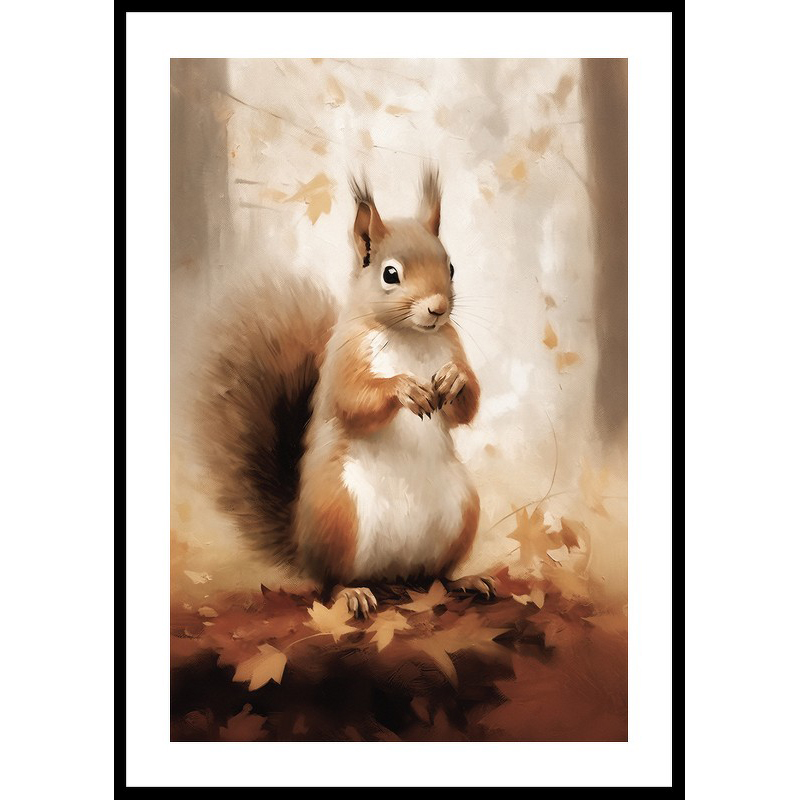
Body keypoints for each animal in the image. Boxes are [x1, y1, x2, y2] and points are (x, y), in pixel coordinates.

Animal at [199, 169, 495, 616]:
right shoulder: (344, 360)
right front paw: (404, 387)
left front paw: (453, 380)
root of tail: (392, 574)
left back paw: (463, 581)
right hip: (339, 513)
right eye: (390, 274)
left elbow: (468, 407)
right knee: (330, 581)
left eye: (451, 266)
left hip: (462, 511)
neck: (411, 336)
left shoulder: (451, 345)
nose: (438, 308)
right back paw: (352, 593)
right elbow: (354, 401)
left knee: (434, 574)